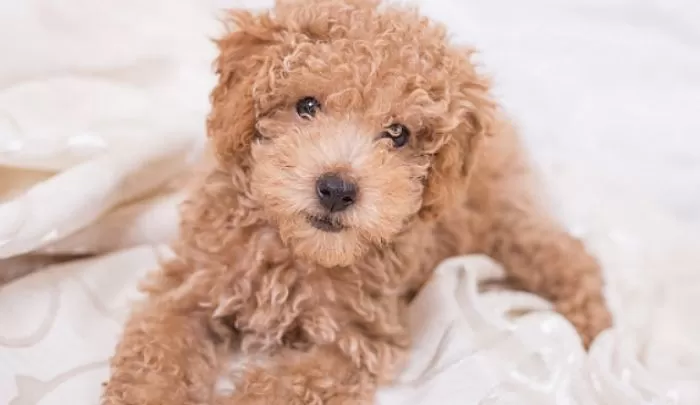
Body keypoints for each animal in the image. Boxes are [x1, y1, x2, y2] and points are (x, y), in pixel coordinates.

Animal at [101, 0, 608, 404]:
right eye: (306, 106)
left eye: (398, 134)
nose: (337, 189)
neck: (294, 251)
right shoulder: (190, 289)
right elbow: (155, 355)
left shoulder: (353, 344)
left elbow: (278, 387)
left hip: (500, 220)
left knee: (566, 255)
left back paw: (591, 331)